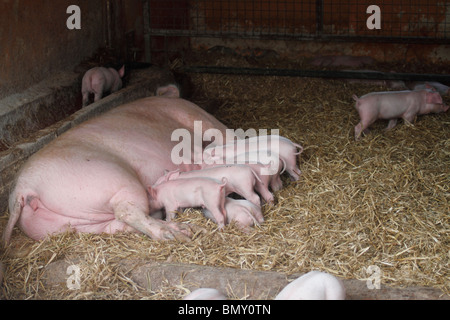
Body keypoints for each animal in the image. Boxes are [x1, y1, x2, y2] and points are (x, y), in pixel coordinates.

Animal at [2, 86, 236, 244]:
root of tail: (23, 189)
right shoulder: (197, 116)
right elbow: (223, 133)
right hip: (116, 179)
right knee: (128, 211)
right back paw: (180, 235)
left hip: (78, 225)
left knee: (118, 225)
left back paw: (187, 230)